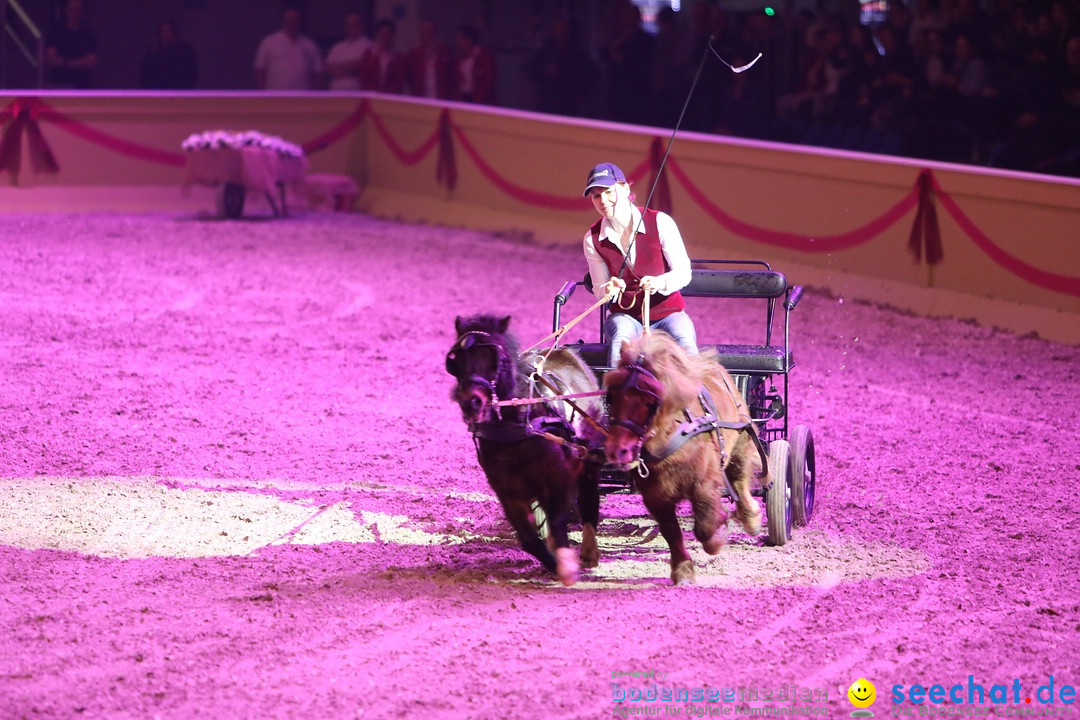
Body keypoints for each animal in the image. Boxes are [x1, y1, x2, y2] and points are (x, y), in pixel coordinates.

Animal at [442, 315, 604, 587]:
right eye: (455, 361)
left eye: (495, 357)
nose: (471, 402)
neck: (518, 425)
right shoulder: (506, 490)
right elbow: (528, 538)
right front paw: (554, 563)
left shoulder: (556, 477)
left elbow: (558, 521)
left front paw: (567, 567)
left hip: (590, 458)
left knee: (589, 499)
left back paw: (589, 552)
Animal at [604, 332, 764, 587]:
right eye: (611, 395)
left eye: (649, 400)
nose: (617, 450)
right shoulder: (655, 496)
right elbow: (671, 531)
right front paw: (683, 570)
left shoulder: (703, 484)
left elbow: (705, 527)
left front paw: (721, 531)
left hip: (740, 443)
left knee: (739, 480)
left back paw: (751, 518)